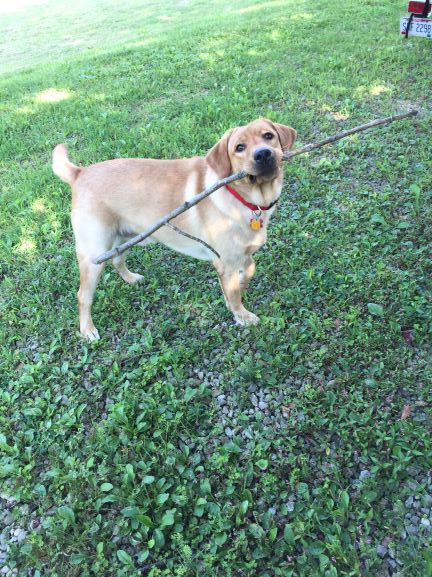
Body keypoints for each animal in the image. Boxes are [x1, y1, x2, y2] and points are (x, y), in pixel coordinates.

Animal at [52, 118, 296, 340]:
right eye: (239, 147)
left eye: (268, 136)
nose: (263, 154)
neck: (247, 200)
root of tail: (80, 172)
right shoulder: (225, 262)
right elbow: (235, 294)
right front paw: (241, 315)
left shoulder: (242, 255)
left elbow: (248, 271)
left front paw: (237, 291)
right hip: (94, 254)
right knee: (83, 295)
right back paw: (87, 330)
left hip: (123, 238)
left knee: (118, 260)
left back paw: (131, 278)